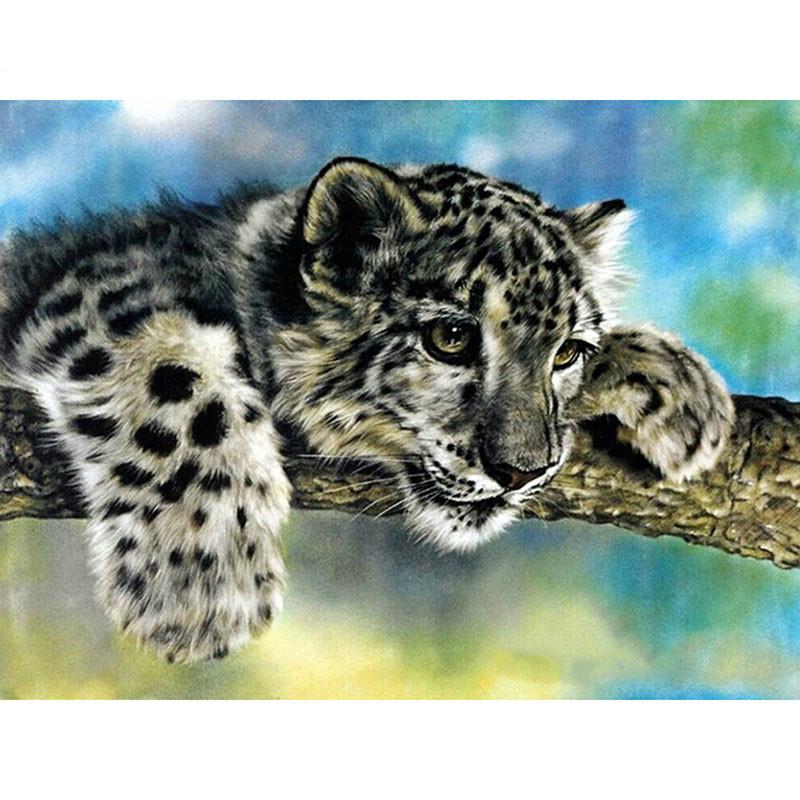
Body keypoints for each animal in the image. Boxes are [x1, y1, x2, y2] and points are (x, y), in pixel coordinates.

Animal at [0, 156, 735, 663]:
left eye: (568, 353)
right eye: (451, 337)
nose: (522, 470)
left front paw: (682, 392)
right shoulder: (103, 292)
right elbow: (175, 380)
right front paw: (199, 591)